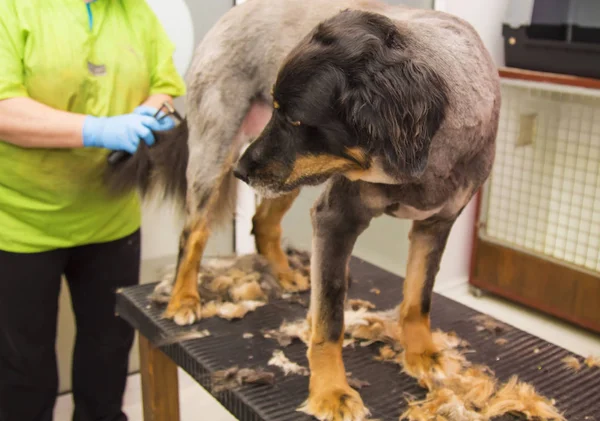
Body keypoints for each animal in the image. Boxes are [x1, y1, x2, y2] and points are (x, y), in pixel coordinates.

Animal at [104, 0, 502, 416]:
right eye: (277, 108)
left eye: (296, 119)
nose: (241, 171)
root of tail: (233, 14)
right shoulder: (335, 219)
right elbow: (329, 322)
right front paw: (331, 392)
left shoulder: (436, 225)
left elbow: (418, 299)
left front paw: (421, 353)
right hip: (216, 152)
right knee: (194, 232)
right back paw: (183, 298)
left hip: (285, 179)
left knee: (263, 223)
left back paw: (284, 275)